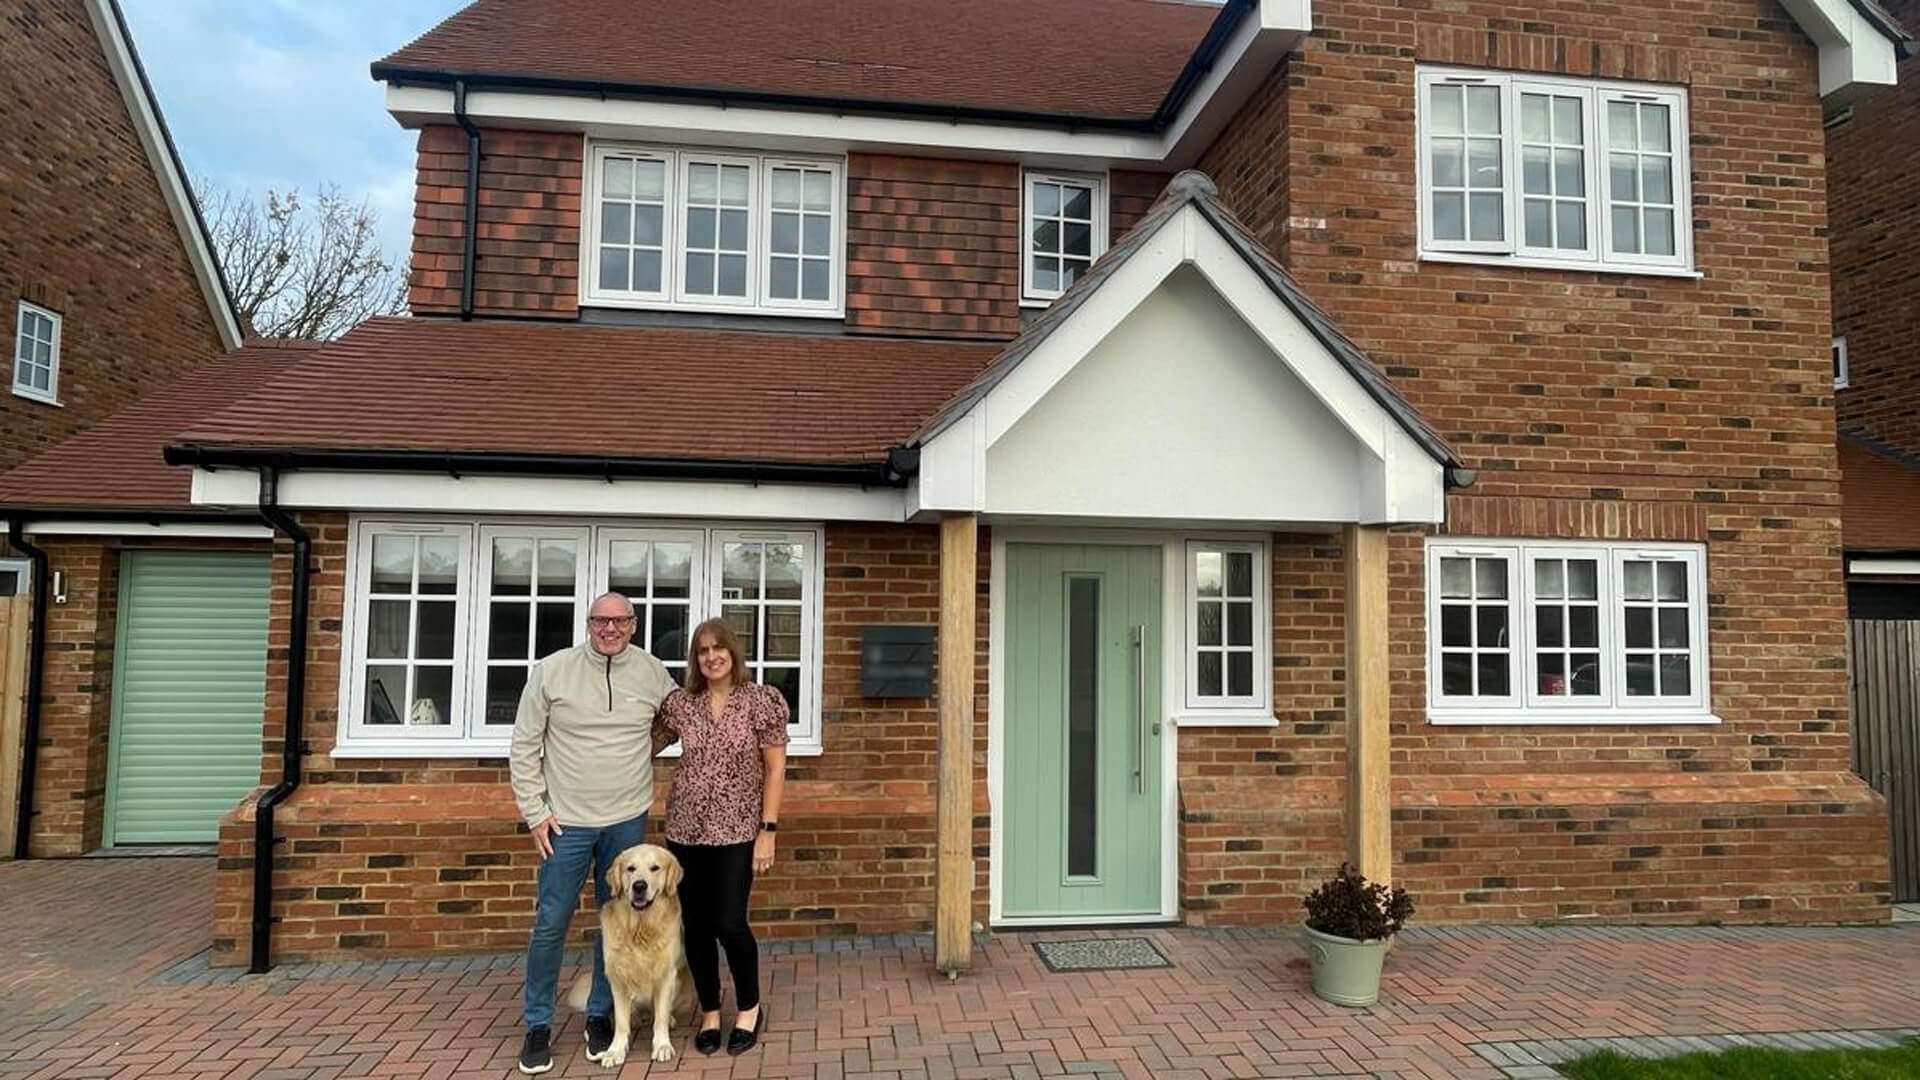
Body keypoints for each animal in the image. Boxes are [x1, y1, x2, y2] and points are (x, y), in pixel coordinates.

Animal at [560, 841, 691, 1060]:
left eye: (655, 868)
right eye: (631, 868)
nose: (639, 886)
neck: (639, 927)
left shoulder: (666, 974)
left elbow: (661, 1016)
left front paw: (662, 1045)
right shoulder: (617, 977)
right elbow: (622, 1022)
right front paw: (615, 1051)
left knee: (659, 1012)